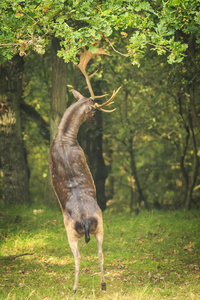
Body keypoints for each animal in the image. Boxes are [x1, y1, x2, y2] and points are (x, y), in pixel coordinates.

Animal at [48, 48, 120, 290]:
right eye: (93, 112)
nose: (95, 119)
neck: (64, 137)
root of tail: (87, 223)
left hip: (70, 231)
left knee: (78, 256)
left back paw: (74, 287)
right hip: (101, 226)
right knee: (100, 253)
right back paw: (104, 285)